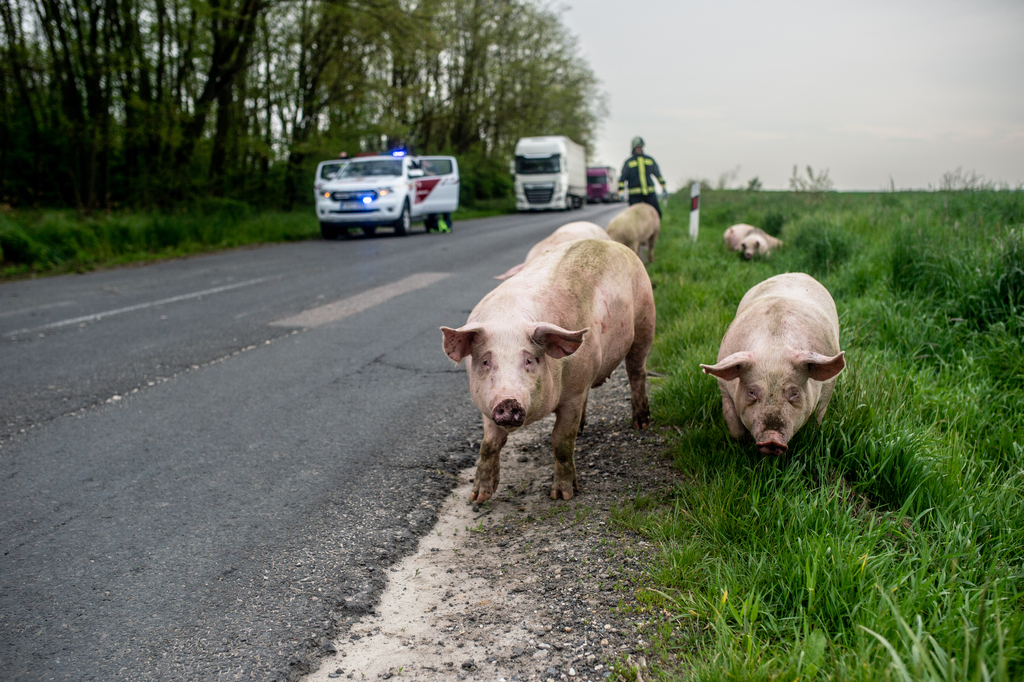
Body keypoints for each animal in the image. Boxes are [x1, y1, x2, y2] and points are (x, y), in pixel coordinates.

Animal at [440, 238, 655, 499]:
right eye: (485, 361)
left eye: (530, 360)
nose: (507, 401)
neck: (510, 317)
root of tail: (612, 243)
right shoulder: (486, 404)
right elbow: (489, 444)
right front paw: (478, 498)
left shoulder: (572, 396)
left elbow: (561, 441)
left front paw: (562, 495)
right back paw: (584, 429)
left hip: (645, 321)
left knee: (637, 372)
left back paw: (641, 423)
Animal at [700, 270, 843, 450]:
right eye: (752, 392)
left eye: (794, 393)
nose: (772, 439)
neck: (774, 347)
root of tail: (795, 273)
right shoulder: (723, 388)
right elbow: (733, 425)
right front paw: (744, 443)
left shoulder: (827, 390)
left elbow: (816, 420)